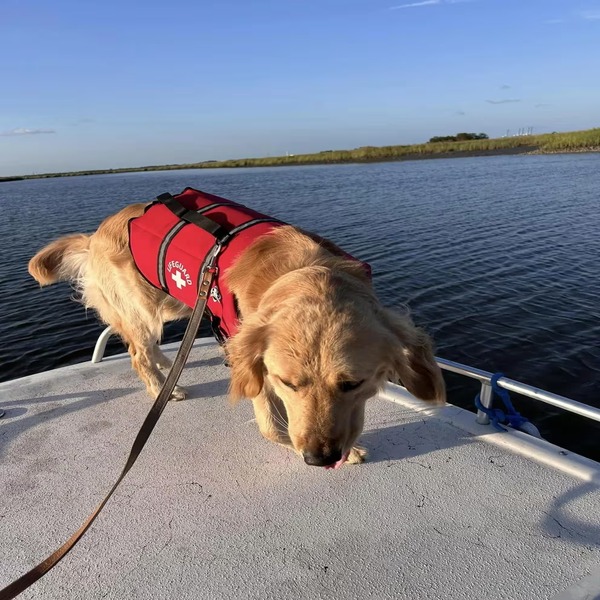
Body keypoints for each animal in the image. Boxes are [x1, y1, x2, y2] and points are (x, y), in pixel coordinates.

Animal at [28, 202, 446, 468]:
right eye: (287, 383)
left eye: (353, 384)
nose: (320, 459)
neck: (301, 273)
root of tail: (94, 236)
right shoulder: (253, 365)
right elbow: (272, 428)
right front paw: (339, 451)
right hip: (145, 307)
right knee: (138, 352)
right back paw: (164, 387)